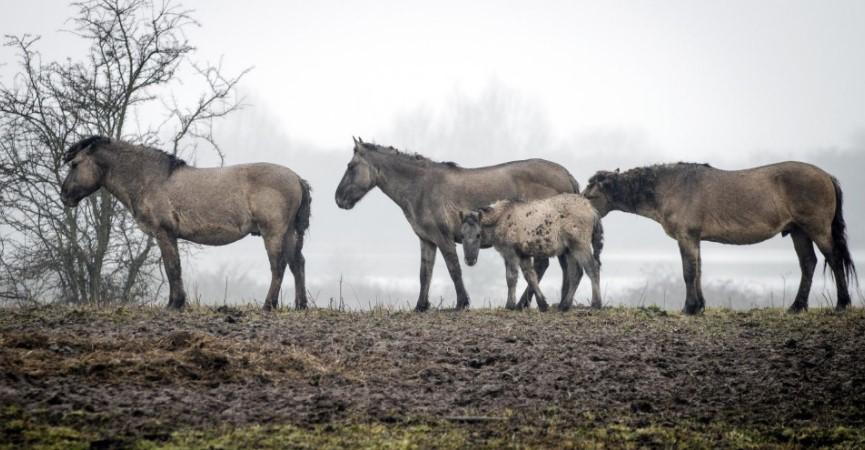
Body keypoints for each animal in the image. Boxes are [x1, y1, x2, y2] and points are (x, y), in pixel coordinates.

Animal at [60, 135, 310, 310]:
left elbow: (172, 268)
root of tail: (297, 178)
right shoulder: (169, 236)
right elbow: (175, 268)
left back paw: (268, 305)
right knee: (297, 264)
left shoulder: (164, 233)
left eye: (75, 164)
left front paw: (175, 304)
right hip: (288, 233)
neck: (150, 179)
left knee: (278, 266)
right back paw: (300, 305)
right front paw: (176, 302)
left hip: (273, 233)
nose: (64, 196)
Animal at [332, 137, 580, 312]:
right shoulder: (427, 240)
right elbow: (425, 273)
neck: (421, 187)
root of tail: (567, 175)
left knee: (545, 266)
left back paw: (529, 303)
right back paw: (556, 303)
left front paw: (462, 302)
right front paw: (420, 305)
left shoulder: (443, 238)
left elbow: (454, 269)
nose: (338, 199)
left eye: (351, 166)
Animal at [584, 163, 852, 314]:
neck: (669, 186)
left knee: (834, 259)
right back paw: (797, 306)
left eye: (590, 195)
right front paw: (699, 305)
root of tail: (826, 176)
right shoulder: (695, 239)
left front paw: (689, 307)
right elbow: (698, 271)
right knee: (808, 263)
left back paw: (841, 304)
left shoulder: (686, 237)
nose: (581, 210)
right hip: (798, 232)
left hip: (817, 229)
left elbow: (689, 272)